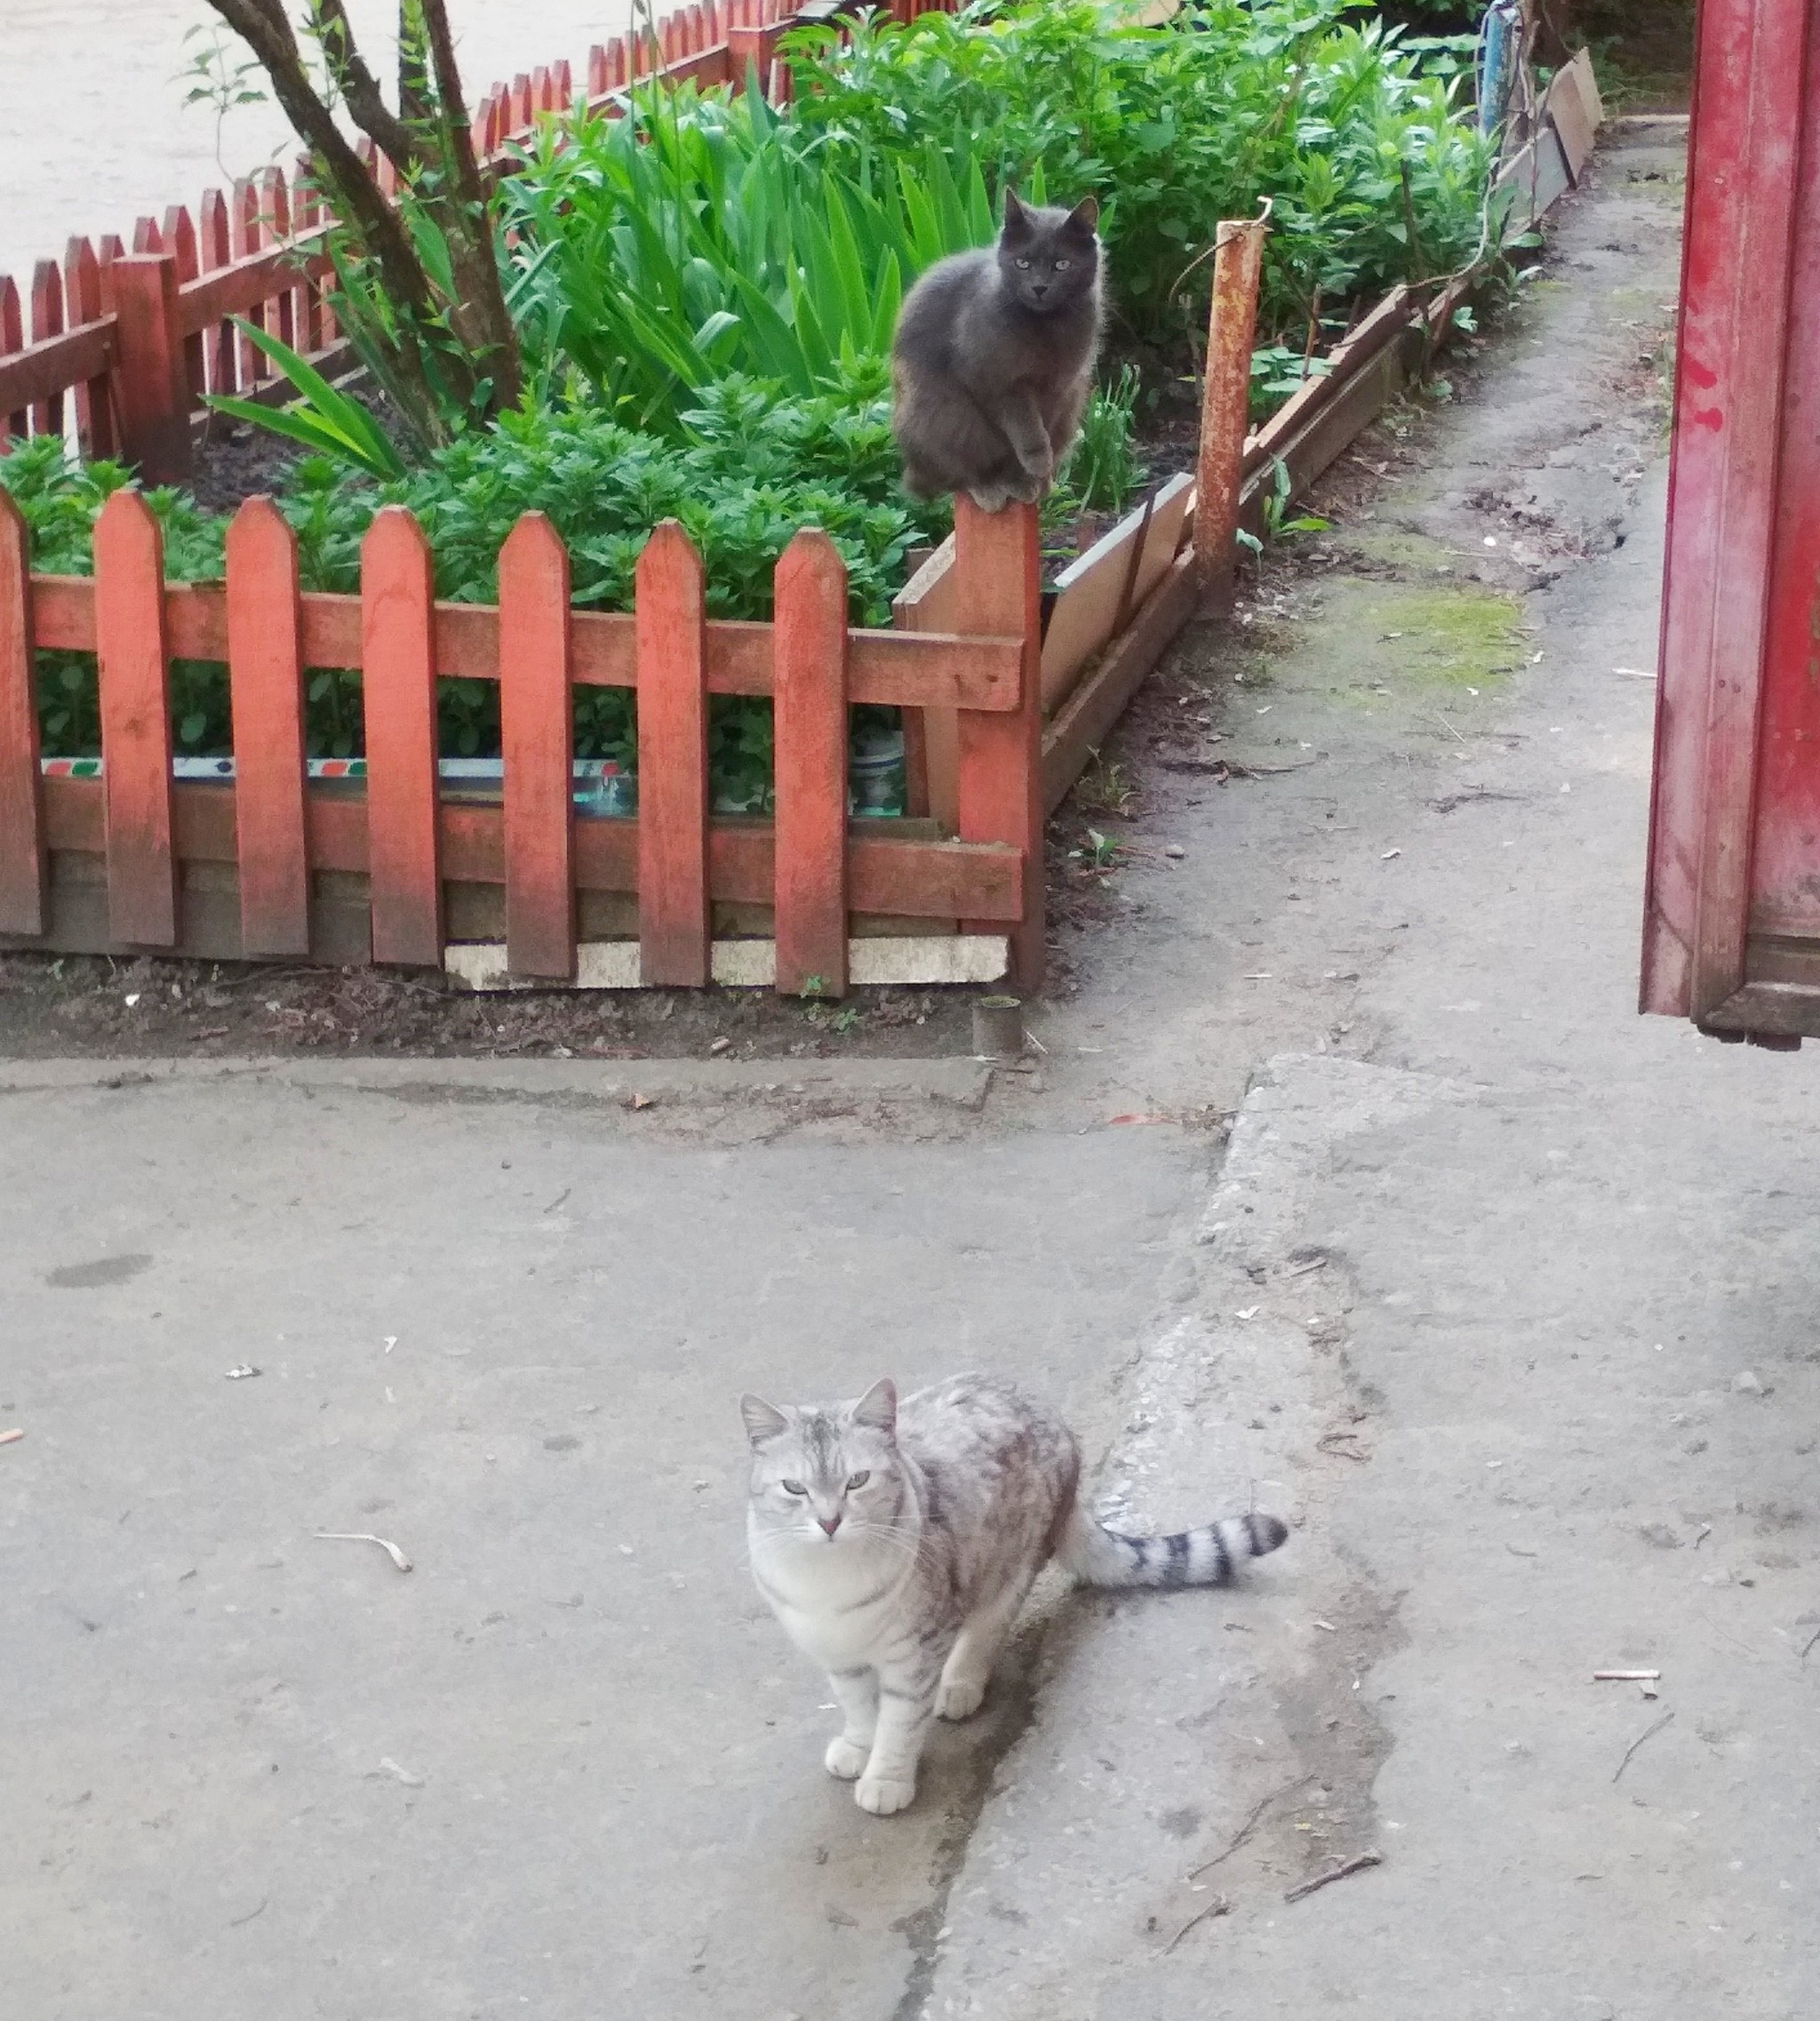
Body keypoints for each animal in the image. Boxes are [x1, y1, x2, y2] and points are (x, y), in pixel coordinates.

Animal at [730, 1374, 1284, 1818]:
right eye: (795, 1488)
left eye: (857, 1481)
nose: (829, 1522)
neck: (827, 1579)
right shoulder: (838, 1652)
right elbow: (859, 1707)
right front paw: (858, 1744)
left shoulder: (916, 1651)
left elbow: (899, 1721)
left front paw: (886, 1778)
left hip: (1011, 1564)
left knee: (986, 1626)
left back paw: (960, 1684)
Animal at [889, 190, 1098, 513]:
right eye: (1022, 263)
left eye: (1062, 264)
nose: (1039, 287)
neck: (1044, 327)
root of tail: (913, 470)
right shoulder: (991, 378)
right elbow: (1022, 425)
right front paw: (1034, 464)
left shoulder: (1060, 383)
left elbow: (1042, 424)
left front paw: (1033, 476)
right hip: (944, 413)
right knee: (958, 470)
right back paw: (987, 487)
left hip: (1073, 403)